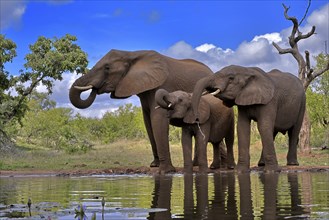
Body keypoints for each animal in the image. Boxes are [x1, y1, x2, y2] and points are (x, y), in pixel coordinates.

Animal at [69, 49, 213, 174]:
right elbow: (148, 121)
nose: (95, 88)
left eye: (107, 68)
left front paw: (166, 171)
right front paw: (154, 165)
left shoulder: (161, 85)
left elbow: (157, 120)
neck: (131, 54)